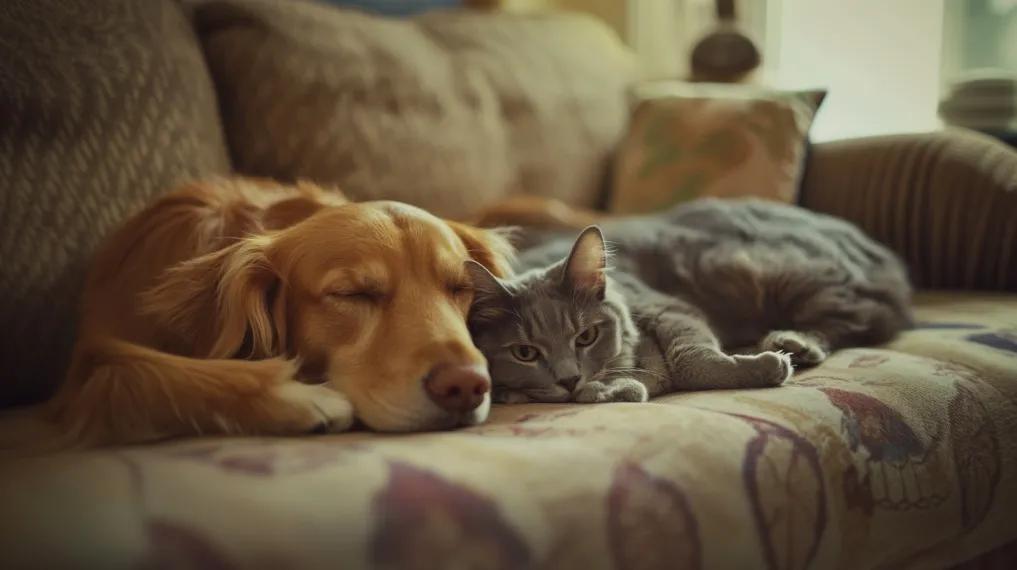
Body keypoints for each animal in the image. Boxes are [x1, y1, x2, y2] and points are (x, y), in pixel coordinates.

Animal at [35, 178, 512, 445]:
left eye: (460, 288)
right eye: (353, 294)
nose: (465, 386)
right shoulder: (89, 361)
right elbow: (151, 370)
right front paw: (300, 397)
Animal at [467, 198, 915, 403]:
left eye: (586, 337)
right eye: (525, 352)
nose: (569, 377)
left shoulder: (669, 308)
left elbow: (690, 359)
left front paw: (765, 367)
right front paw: (610, 390)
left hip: (771, 269)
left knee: (864, 316)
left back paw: (793, 342)